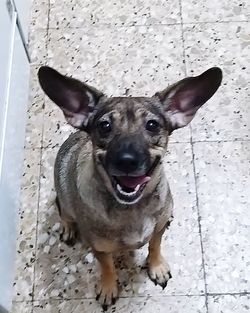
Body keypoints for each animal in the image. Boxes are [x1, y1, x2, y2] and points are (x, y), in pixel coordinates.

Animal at [38, 66, 222, 310]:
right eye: (104, 126)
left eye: (152, 125)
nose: (127, 160)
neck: (131, 209)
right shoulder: (99, 248)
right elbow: (107, 266)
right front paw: (108, 286)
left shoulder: (157, 231)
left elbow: (155, 245)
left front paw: (156, 266)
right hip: (63, 198)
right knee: (63, 211)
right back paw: (68, 227)